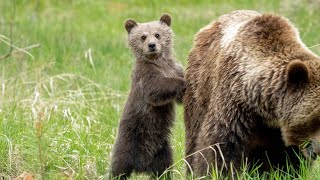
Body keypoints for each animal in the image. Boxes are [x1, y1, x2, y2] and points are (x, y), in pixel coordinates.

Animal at [184, 9, 320, 176]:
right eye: (317, 118)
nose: (319, 149)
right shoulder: (233, 103)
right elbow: (220, 144)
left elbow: (289, 157)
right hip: (199, 89)